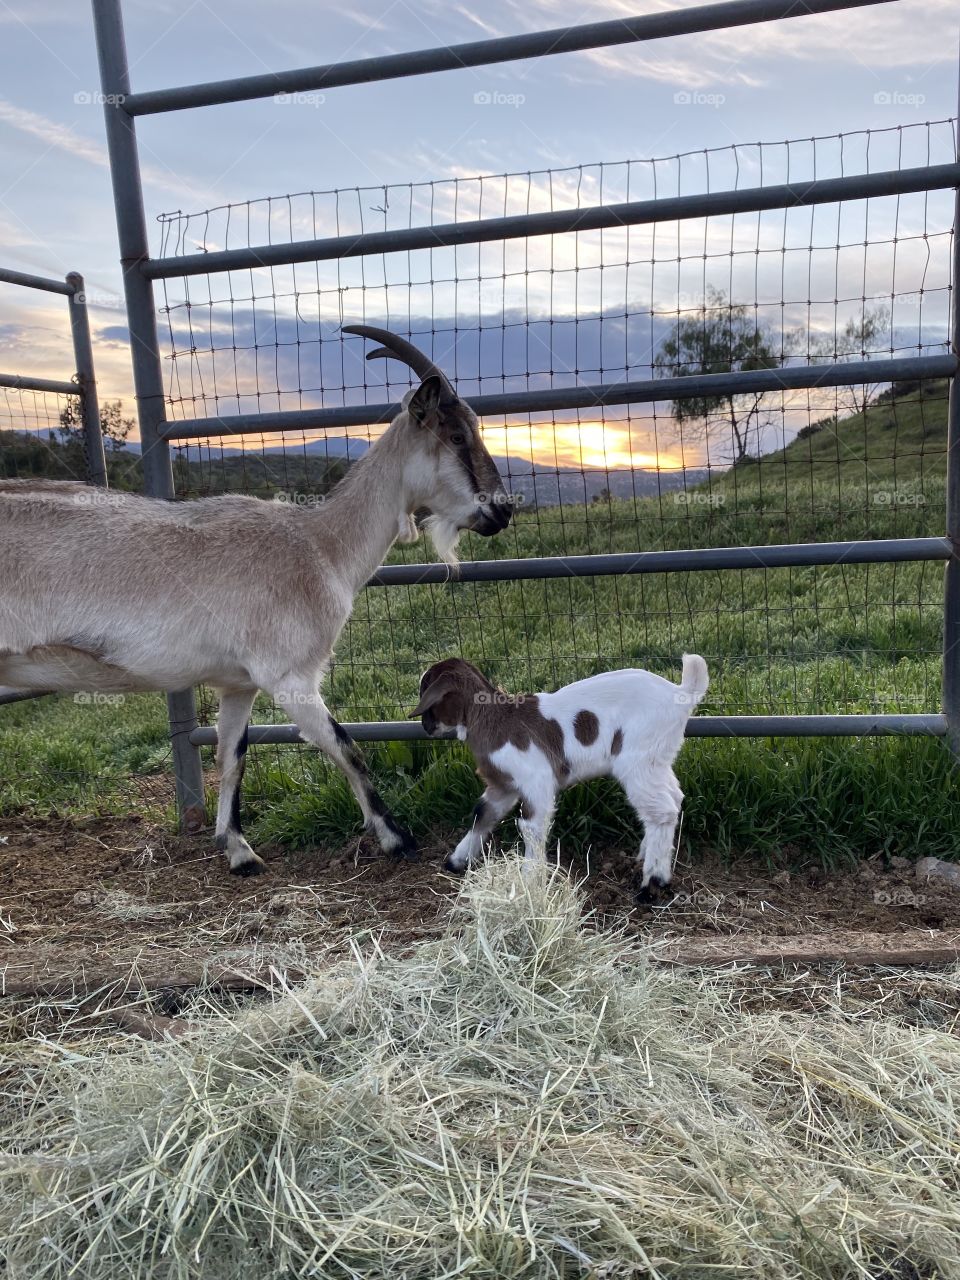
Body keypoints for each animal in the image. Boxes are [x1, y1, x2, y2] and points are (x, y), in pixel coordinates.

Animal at [0, 327, 513, 874]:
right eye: (457, 436)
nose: (502, 511)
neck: (321, 546)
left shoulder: (237, 683)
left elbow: (232, 757)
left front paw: (238, 849)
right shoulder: (289, 675)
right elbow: (346, 745)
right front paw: (397, 838)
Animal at [411, 655, 709, 896]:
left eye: (426, 692)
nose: (425, 727)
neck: (493, 717)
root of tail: (681, 693)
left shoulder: (536, 780)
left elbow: (530, 827)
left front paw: (530, 881)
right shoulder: (503, 785)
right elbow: (482, 812)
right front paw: (455, 861)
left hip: (638, 758)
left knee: (662, 810)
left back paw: (653, 883)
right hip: (658, 758)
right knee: (673, 798)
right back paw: (645, 856)